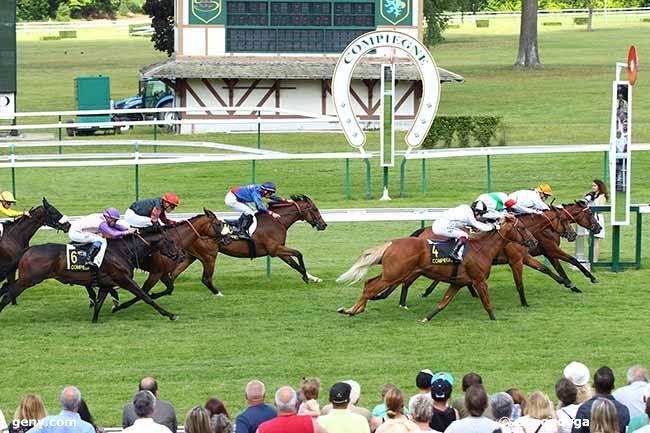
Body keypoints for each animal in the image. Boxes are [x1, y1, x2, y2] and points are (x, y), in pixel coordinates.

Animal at [0, 230, 185, 320]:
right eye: (171, 241)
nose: (182, 255)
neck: (122, 251)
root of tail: (28, 249)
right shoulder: (124, 279)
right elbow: (145, 296)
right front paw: (170, 315)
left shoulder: (106, 283)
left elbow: (98, 304)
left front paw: (95, 321)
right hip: (29, 280)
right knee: (8, 294)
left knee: (6, 288)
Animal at [162, 194, 324, 296]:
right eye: (315, 209)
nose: (324, 225)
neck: (277, 221)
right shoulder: (275, 249)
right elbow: (298, 253)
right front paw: (305, 277)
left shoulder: (278, 251)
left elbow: (294, 263)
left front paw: (313, 278)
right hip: (209, 256)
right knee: (205, 278)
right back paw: (218, 293)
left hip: (191, 256)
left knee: (173, 274)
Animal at [336, 216, 536, 320]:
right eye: (522, 227)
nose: (533, 242)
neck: (481, 248)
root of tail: (391, 244)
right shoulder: (479, 280)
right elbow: (487, 302)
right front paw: (494, 319)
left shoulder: (458, 282)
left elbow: (444, 302)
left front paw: (427, 317)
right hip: (393, 274)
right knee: (370, 287)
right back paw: (352, 310)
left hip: (394, 273)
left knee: (369, 284)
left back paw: (352, 309)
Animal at [404, 202, 604, 308]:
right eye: (590, 214)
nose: (599, 228)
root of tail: (424, 231)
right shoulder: (525, 257)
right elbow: (571, 261)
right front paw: (589, 279)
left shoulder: (531, 256)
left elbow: (549, 269)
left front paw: (570, 284)